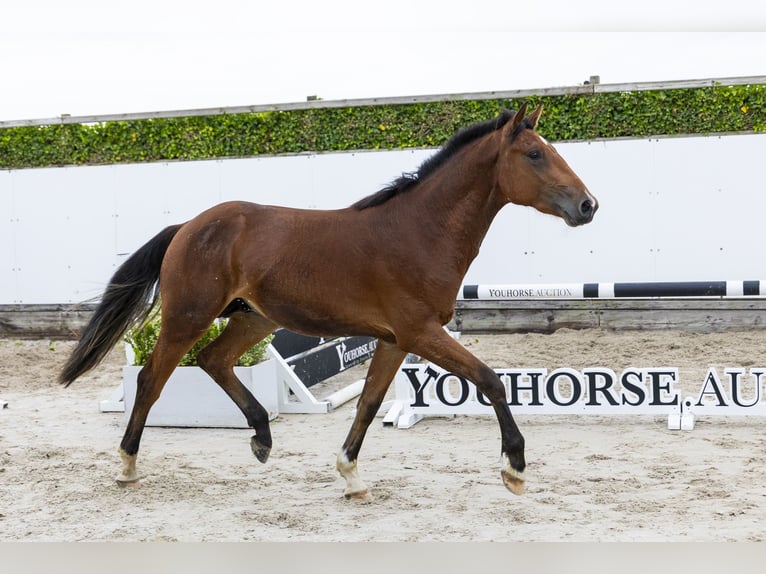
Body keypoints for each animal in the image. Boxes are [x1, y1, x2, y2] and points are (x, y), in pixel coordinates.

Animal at [60, 103, 598, 499]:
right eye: (533, 154)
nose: (588, 205)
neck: (419, 230)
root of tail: (188, 226)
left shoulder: (397, 339)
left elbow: (369, 403)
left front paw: (351, 477)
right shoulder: (421, 332)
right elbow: (490, 381)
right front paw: (515, 469)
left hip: (252, 320)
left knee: (213, 360)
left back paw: (262, 437)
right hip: (187, 316)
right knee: (152, 379)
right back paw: (128, 466)